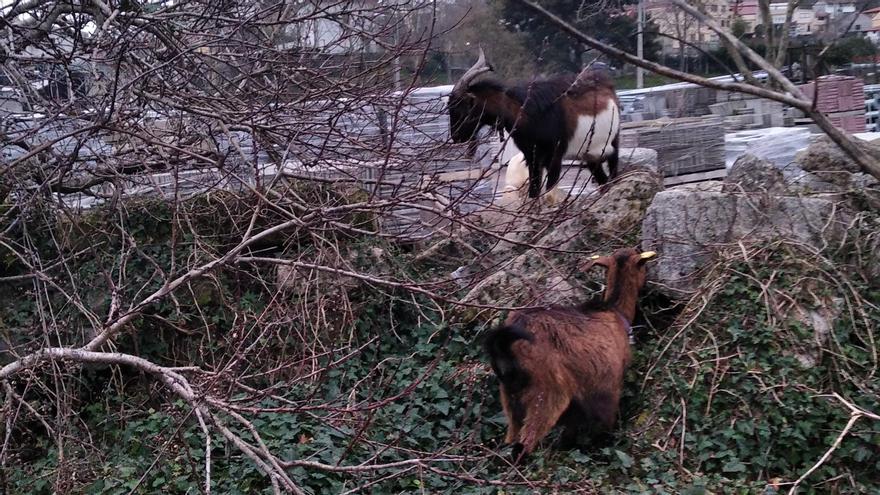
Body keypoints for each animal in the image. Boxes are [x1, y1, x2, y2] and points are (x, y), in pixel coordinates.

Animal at [446, 49, 620, 200]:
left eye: (461, 108)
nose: (456, 138)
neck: (523, 110)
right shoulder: (532, 157)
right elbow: (534, 192)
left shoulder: (554, 156)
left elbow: (549, 192)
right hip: (589, 154)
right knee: (604, 182)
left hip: (612, 144)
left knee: (613, 175)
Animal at [484, 248, 656, 462]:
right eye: (643, 264)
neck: (613, 312)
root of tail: (506, 347)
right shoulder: (608, 387)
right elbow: (604, 425)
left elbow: (569, 432)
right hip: (546, 395)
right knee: (524, 444)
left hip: (510, 399)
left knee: (509, 442)